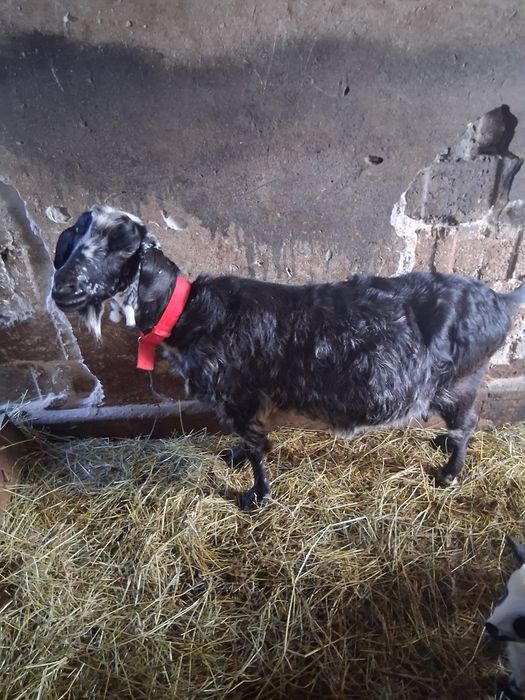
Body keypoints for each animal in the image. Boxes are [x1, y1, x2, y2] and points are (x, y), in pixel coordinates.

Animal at [51, 204, 525, 508]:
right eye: (74, 238)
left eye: (120, 246)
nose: (61, 289)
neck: (189, 312)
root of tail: (502, 301)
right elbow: (251, 441)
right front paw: (235, 457)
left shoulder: (238, 396)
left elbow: (258, 447)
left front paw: (255, 496)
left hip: (459, 381)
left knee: (468, 423)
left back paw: (449, 471)